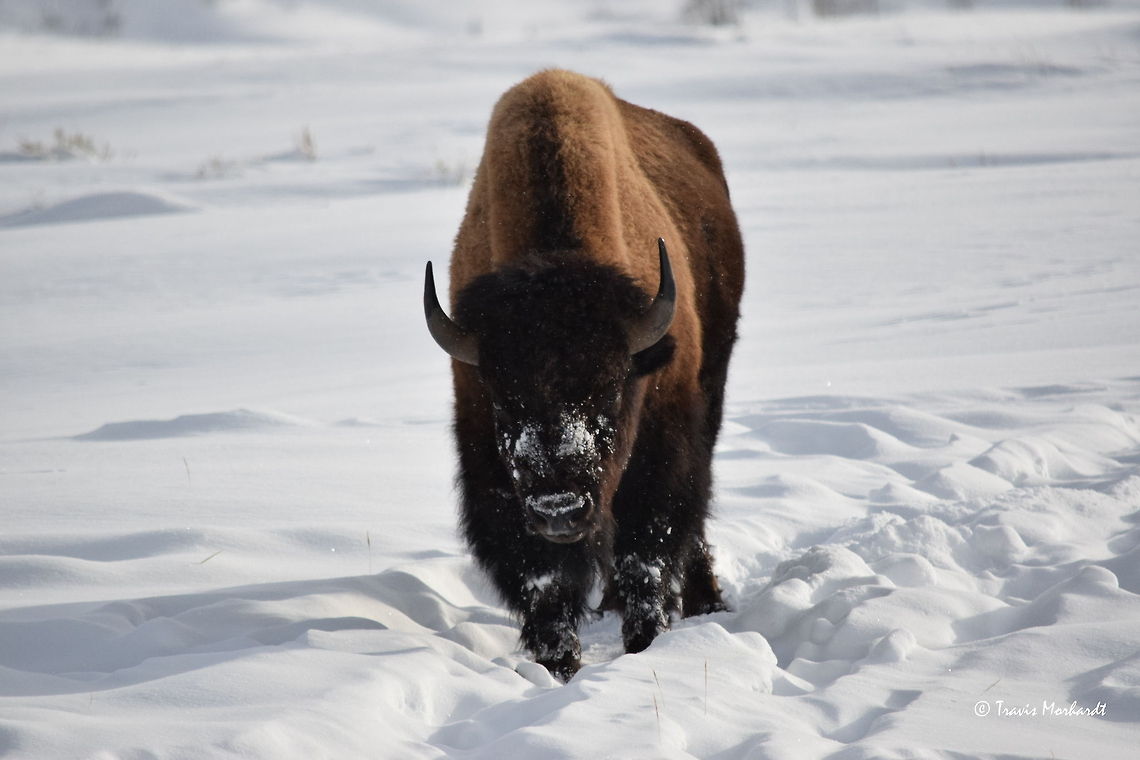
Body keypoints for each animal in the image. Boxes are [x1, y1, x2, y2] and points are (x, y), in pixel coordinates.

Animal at [423, 69, 745, 680]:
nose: (560, 511)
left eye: (613, 389)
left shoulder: (663, 447)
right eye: (502, 398)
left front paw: (645, 642)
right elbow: (544, 580)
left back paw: (705, 602)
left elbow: (645, 553)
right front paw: (559, 664)